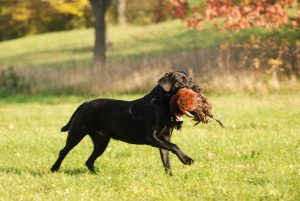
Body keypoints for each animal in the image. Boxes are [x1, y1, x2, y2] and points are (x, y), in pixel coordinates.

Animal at [51, 71, 202, 174]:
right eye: (181, 81)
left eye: (190, 79)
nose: (199, 88)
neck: (162, 105)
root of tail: (85, 103)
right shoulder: (151, 137)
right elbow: (175, 146)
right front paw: (187, 160)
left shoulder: (164, 139)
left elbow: (167, 159)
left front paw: (171, 176)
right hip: (77, 133)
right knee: (63, 151)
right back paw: (54, 168)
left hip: (101, 142)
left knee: (89, 161)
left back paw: (96, 174)